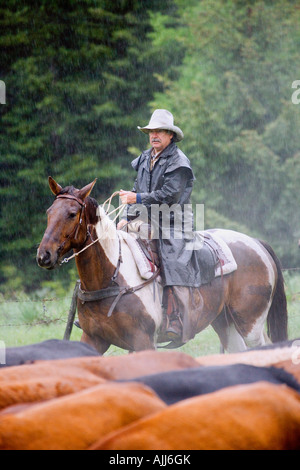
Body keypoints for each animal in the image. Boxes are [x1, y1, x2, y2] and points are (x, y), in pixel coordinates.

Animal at [36, 178, 288, 354]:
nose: (44, 255)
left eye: (71, 214)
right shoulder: (94, 339)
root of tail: (256, 242)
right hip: (225, 323)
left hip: (251, 324)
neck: (112, 277)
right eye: (48, 212)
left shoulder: (144, 341)